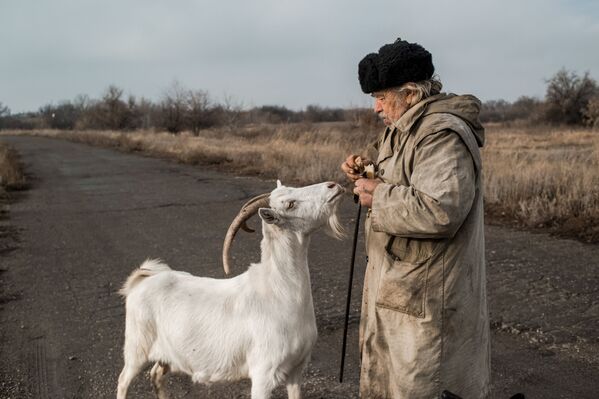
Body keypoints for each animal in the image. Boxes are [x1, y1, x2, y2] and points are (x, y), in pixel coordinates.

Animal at [117, 182, 344, 399]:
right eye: (290, 204)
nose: (333, 185)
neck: (279, 292)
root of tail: (143, 280)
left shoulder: (296, 369)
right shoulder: (263, 374)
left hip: (168, 355)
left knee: (156, 374)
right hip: (136, 349)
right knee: (123, 380)